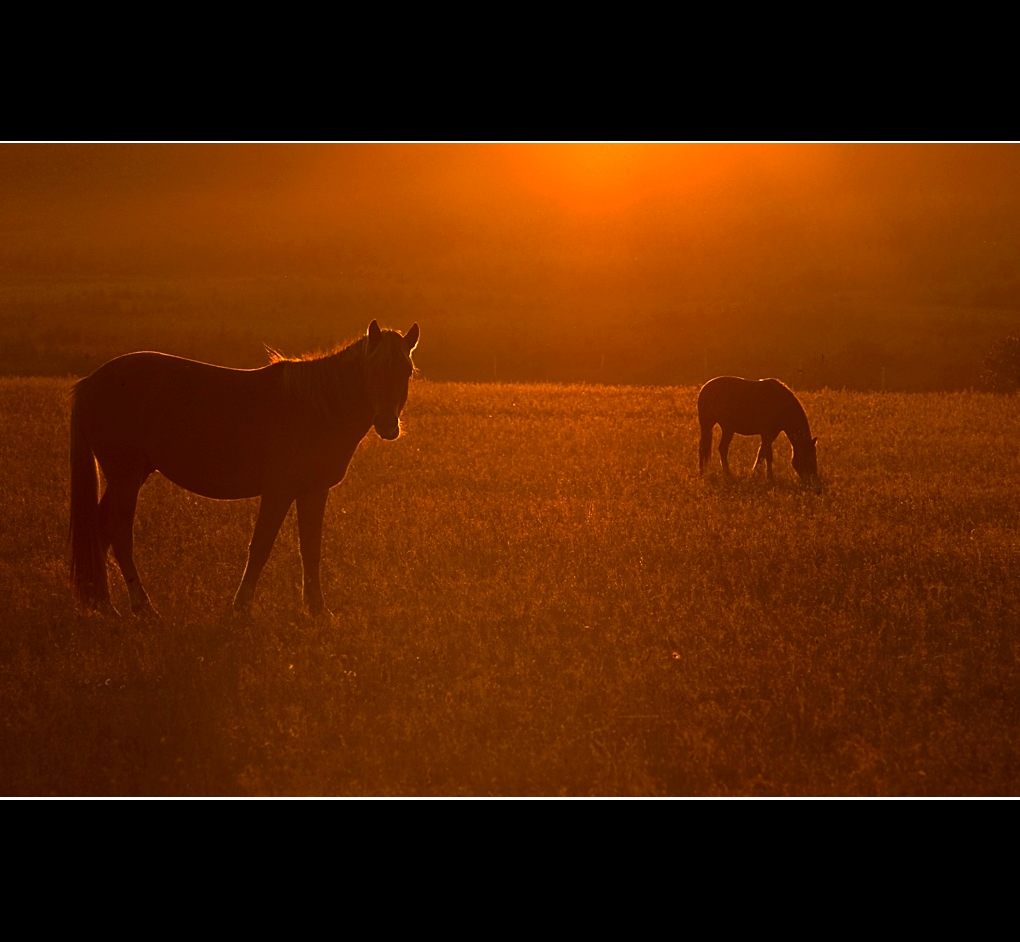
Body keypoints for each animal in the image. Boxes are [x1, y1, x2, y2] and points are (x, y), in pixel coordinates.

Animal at [70, 320, 418, 619]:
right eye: (373, 368)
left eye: (408, 371)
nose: (388, 425)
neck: (316, 407)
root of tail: (89, 383)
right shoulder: (278, 492)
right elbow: (261, 546)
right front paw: (241, 608)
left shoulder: (313, 492)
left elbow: (311, 549)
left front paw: (318, 610)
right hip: (125, 477)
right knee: (119, 534)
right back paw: (143, 608)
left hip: (129, 476)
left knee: (100, 530)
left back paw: (105, 606)